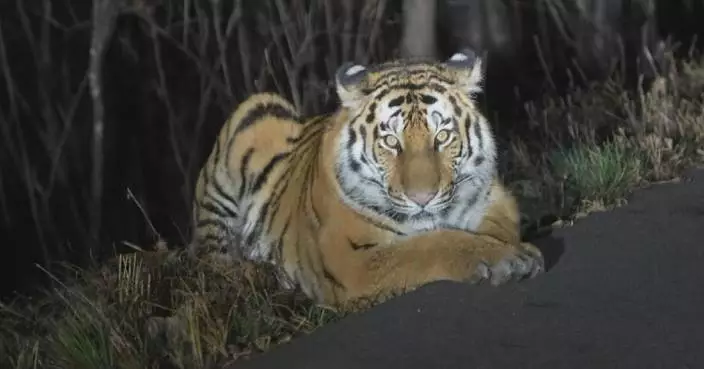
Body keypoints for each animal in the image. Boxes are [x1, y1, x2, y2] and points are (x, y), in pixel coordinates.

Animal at [188, 49, 544, 308]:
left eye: (442, 136)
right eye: (390, 141)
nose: (422, 198)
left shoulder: (497, 201)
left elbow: (494, 229)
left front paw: (513, 250)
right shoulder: (351, 257)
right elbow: (427, 246)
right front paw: (504, 260)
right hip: (254, 114)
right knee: (217, 262)